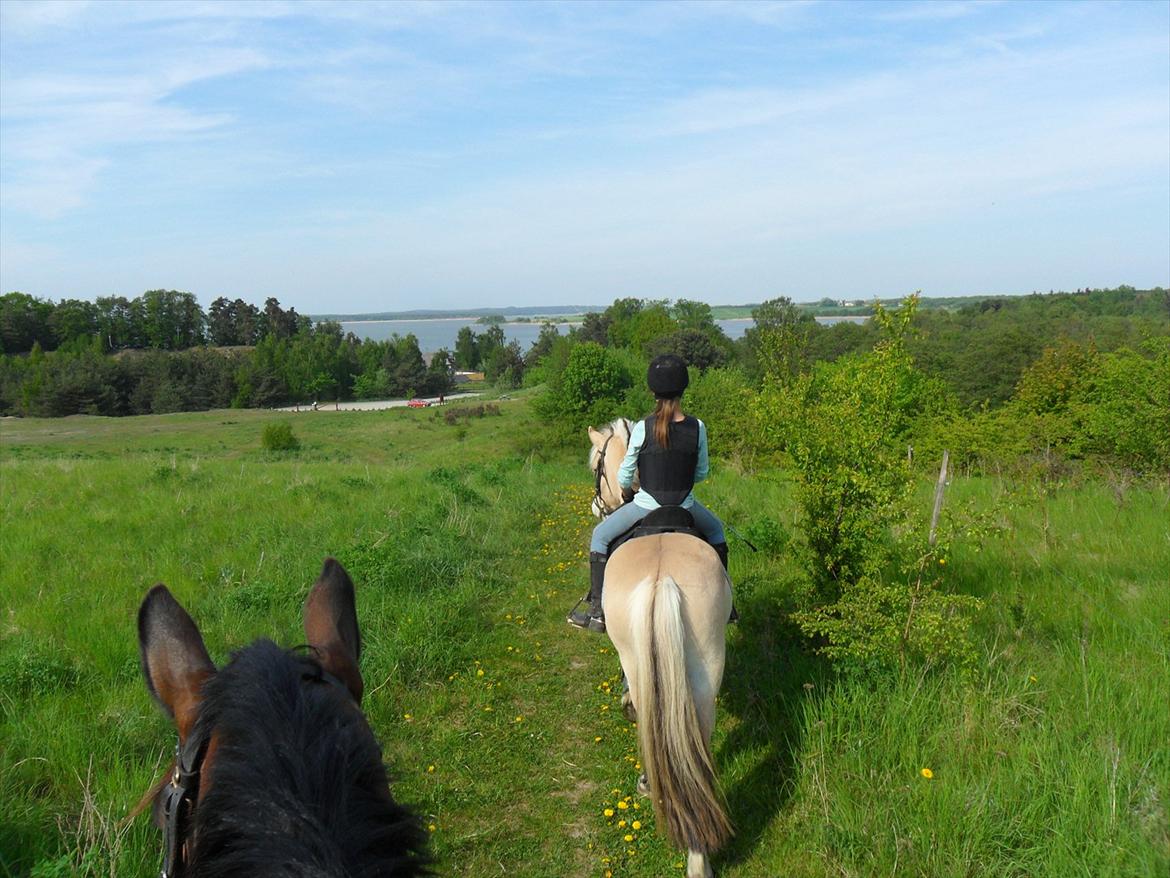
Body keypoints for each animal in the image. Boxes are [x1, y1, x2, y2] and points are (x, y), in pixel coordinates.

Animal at [589, 419, 734, 878]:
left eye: (596, 464)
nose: (597, 507)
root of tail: (662, 577)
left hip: (639, 660)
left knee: (645, 710)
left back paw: (646, 782)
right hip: (705, 670)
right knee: (696, 738)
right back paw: (698, 857)